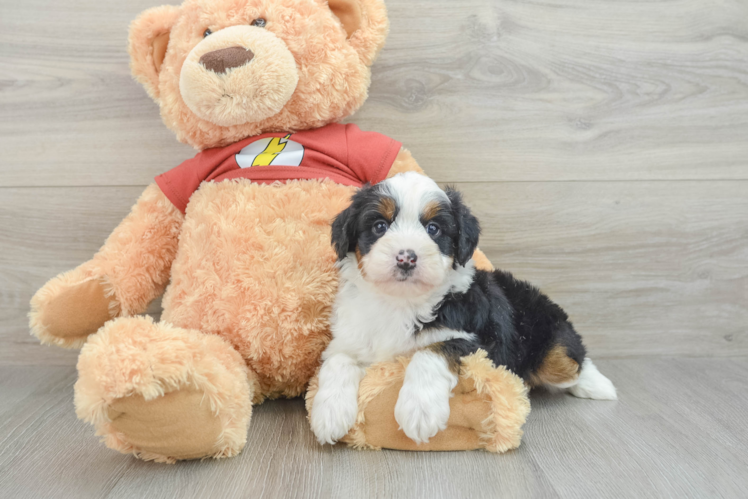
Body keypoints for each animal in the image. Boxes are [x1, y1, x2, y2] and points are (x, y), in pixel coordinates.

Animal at [308, 172, 612, 446]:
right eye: (380, 226)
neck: (400, 302)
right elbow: (337, 361)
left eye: (433, 229)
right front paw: (329, 414)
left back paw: (598, 386)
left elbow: (430, 351)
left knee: (572, 360)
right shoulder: (349, 338)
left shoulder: (481, 342)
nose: (406, 257)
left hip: (546, 341)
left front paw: (419, 409)